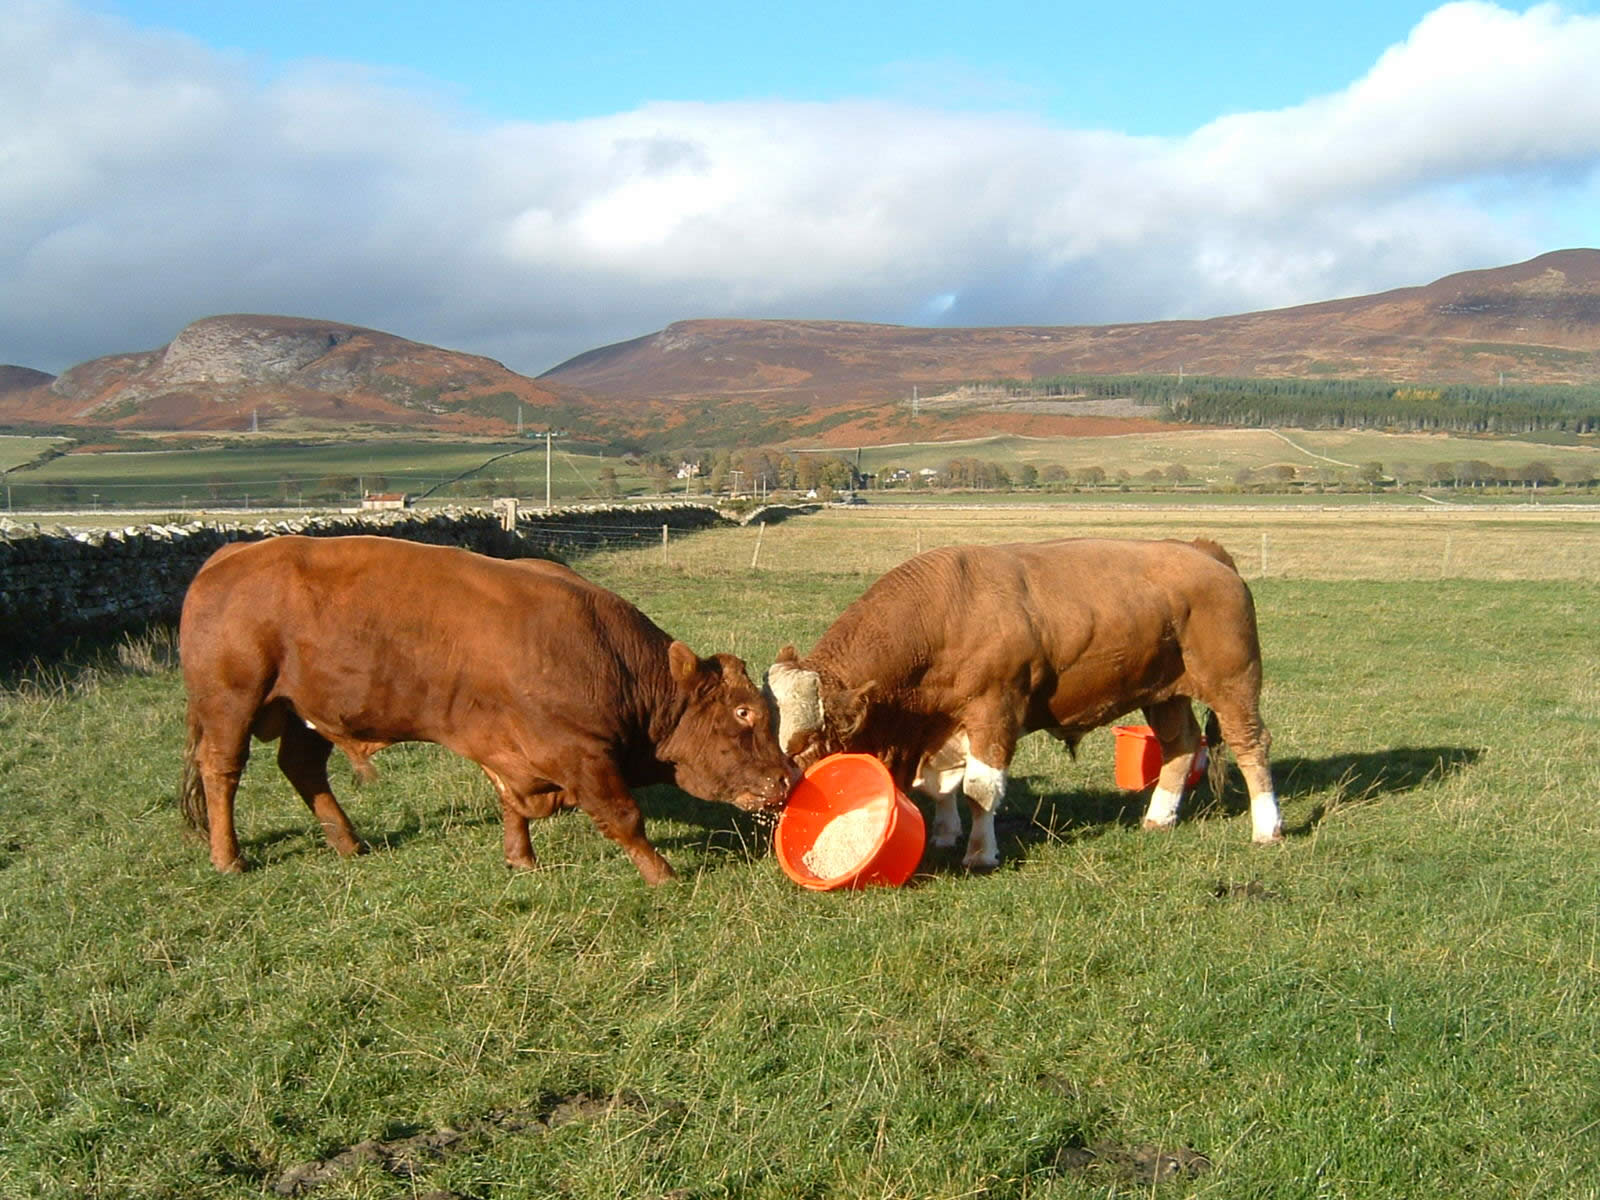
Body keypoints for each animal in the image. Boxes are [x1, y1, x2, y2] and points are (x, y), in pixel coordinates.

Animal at [768, 540, 1280, 870]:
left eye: (807, 740)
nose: (785, 793)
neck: (943, 616)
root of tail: (1201, 549)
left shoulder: (993, 712)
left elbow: (979, 789)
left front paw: (980, 852)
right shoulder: (940, 724)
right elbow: (941, 786)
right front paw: (945, 833)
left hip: (1233, 683)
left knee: (1251, 745)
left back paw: (1267, 826)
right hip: (1164, 693)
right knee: (1180, 746)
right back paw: (1159, 817)